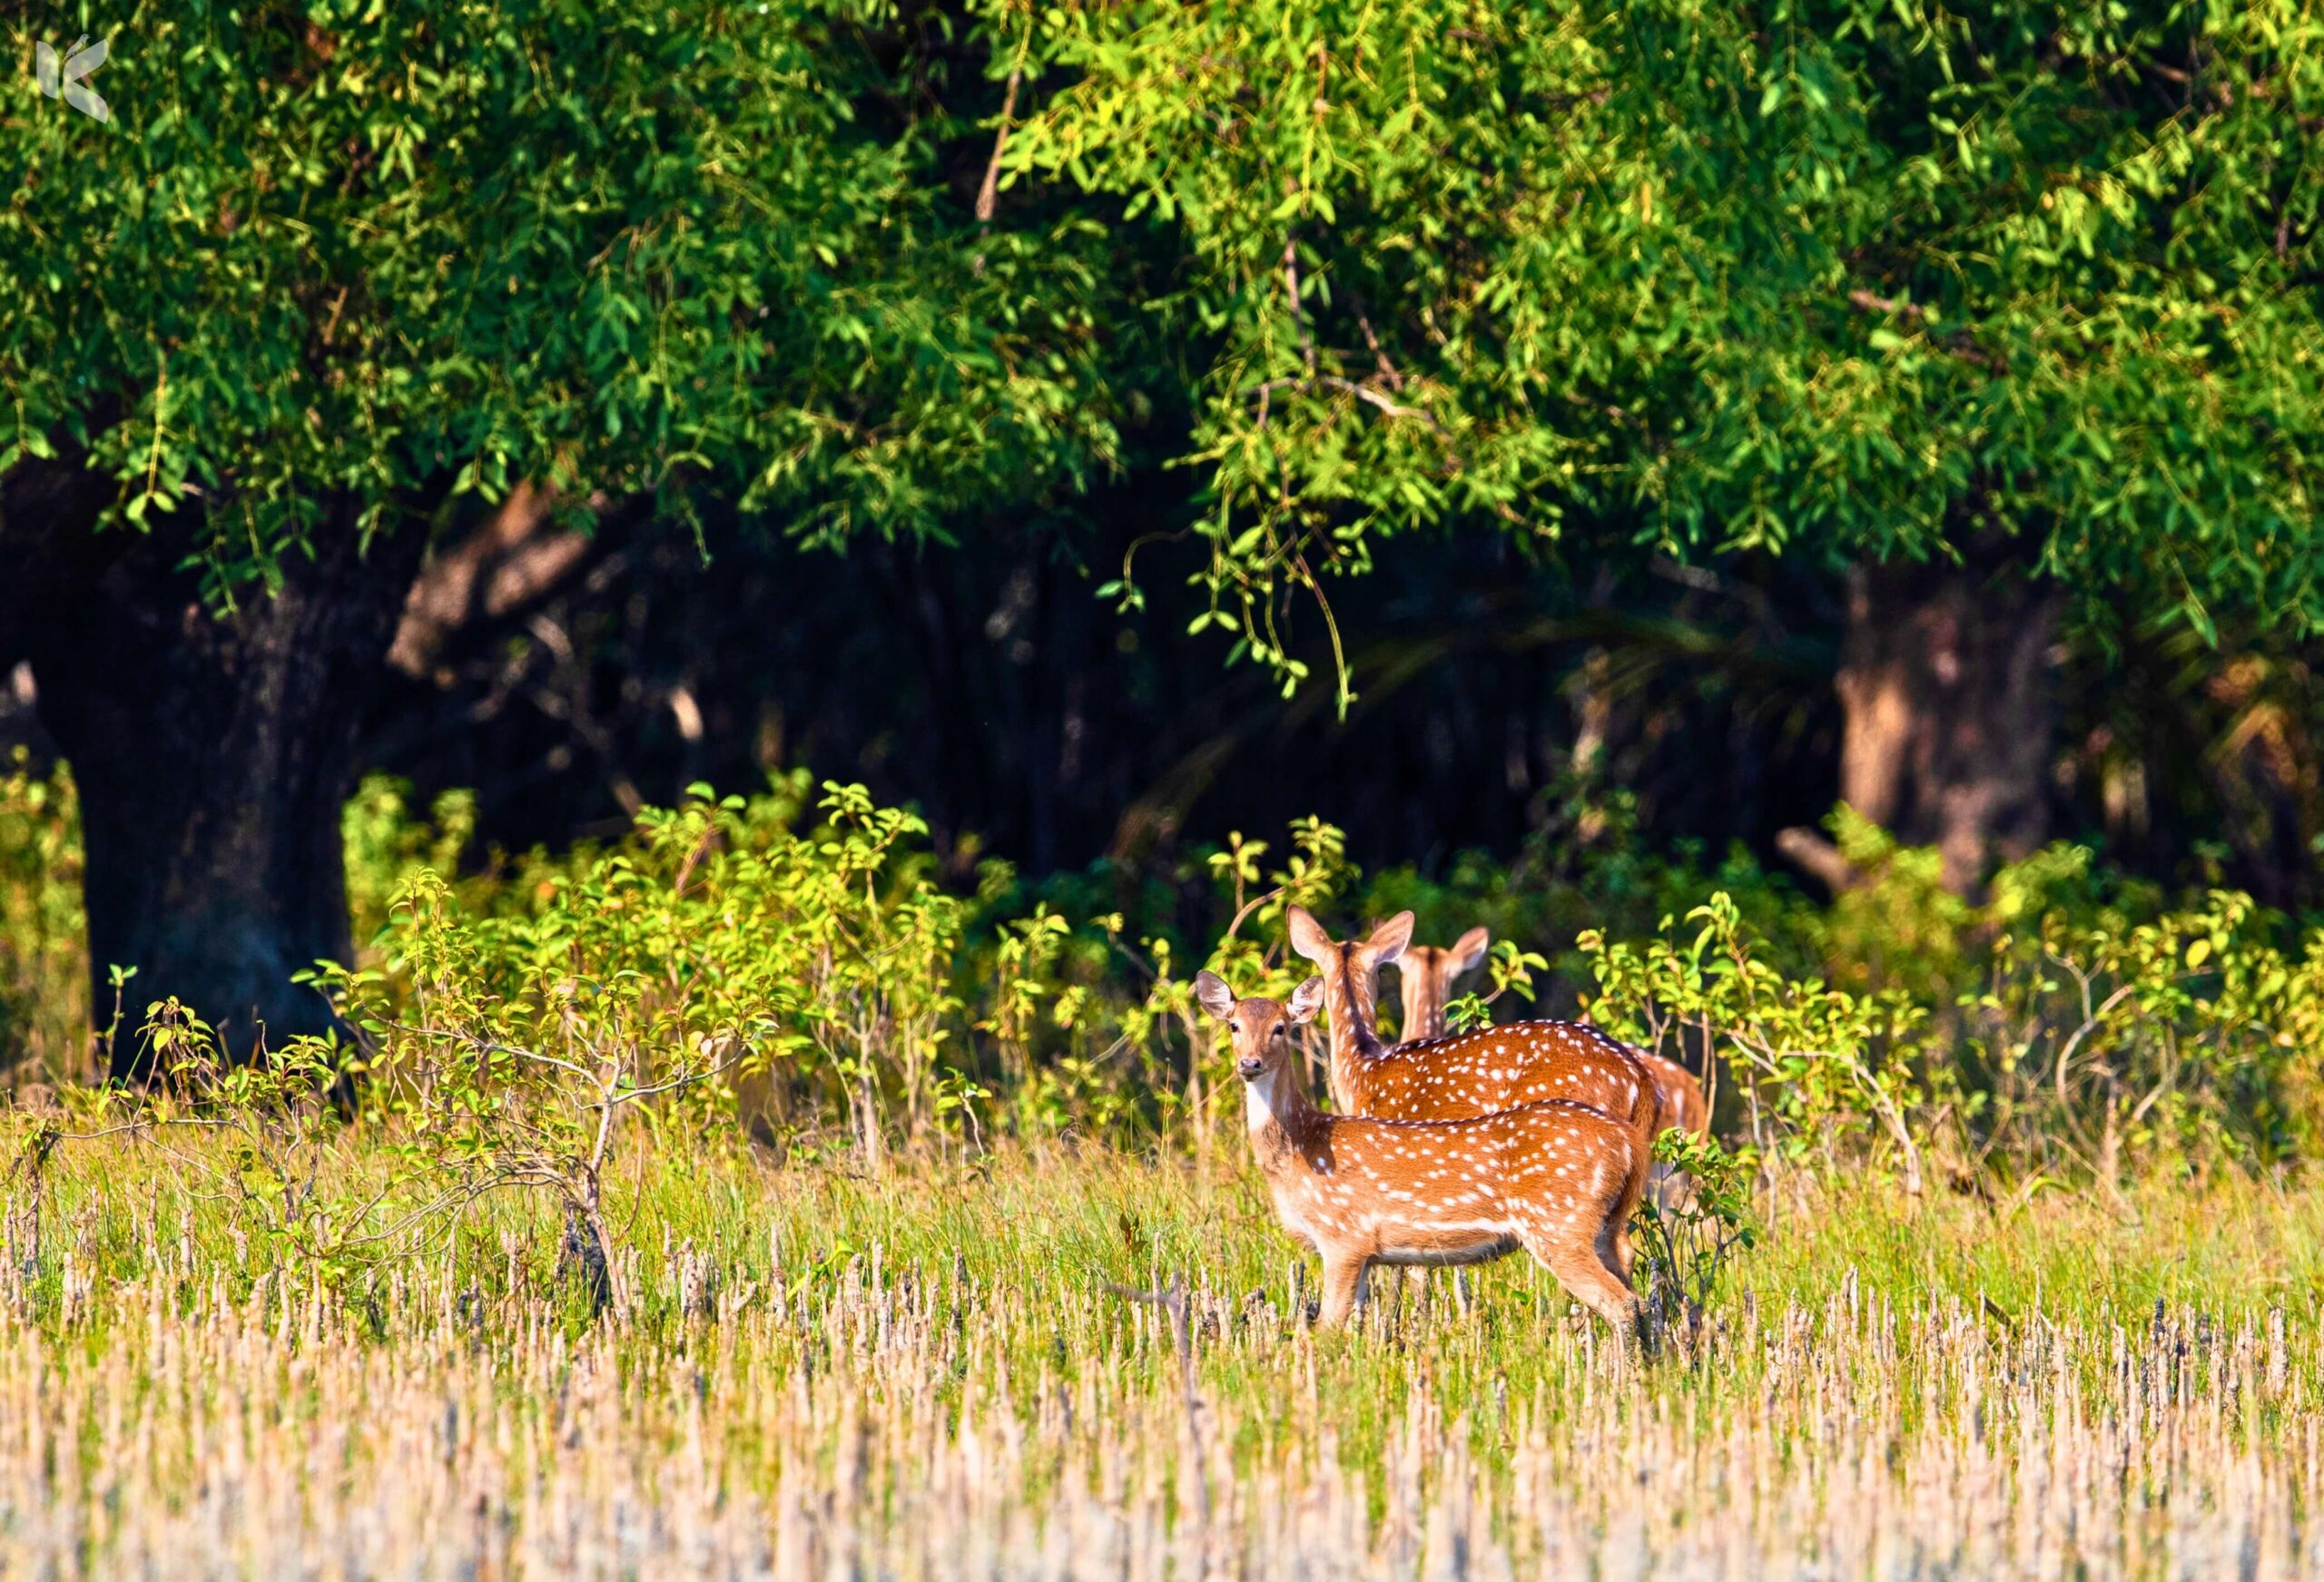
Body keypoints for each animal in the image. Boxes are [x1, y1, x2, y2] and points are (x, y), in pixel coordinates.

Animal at [1198, 961, 1654, 1347]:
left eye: (1280, 1027)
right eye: (1234, 1025)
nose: (1250, 1063)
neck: (1300, 1151)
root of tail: (1629, 1140)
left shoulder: (1344, 1235)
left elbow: (1327, 1329)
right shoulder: (1366, 1254)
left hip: (1560, 1223)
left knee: (1620, 1303)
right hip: (1605, 1223)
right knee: (1636, 1284)